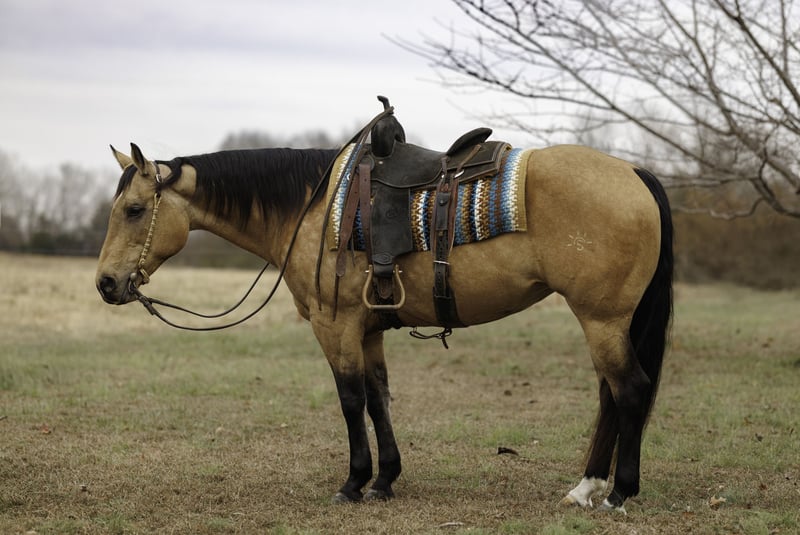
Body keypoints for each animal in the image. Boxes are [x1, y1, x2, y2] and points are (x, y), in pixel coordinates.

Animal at [95, 135, 672, 513]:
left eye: (134, 209)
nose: (105, 283)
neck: (312, 208)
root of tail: (633, 173)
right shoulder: (368, 330)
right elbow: (379, 399)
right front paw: (385, 480)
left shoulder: (335, 327)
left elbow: (351, 401)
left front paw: (354, 482)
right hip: (606, 322)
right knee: (611, 396)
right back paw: (586, 487)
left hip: (601, 319)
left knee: (629, 390)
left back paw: (618, 492)